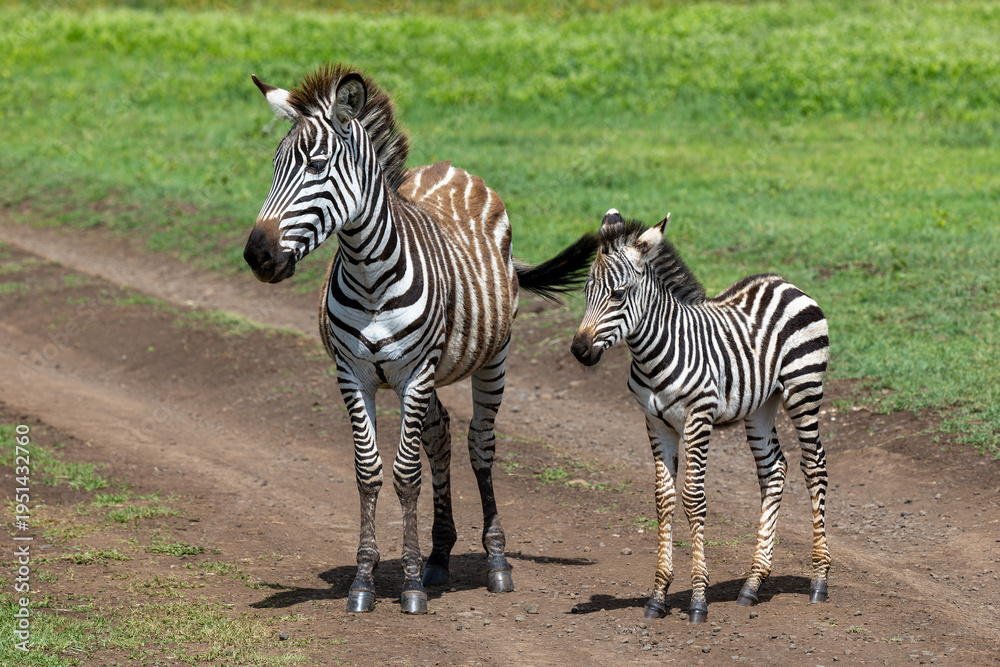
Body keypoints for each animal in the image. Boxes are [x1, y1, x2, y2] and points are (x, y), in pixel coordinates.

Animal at [243, 63, 598, 615]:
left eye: (317, 166)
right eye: (275, 167)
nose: (257, 255)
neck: (369, 275)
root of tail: (452, 168)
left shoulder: (414, 372)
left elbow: (406, 475)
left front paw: (408, 586)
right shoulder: (354, 374)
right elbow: (369, 471)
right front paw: (365, 581)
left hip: (490, 358)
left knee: (479, 443)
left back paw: (496, 562)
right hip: (429, 375)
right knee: (441, 435)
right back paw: (438, 556)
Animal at [570, 209, 831, 624]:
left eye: (618, 294)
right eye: (585, 291)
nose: (579, 350)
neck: (654, 351)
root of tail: (784, 282)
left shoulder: (698, 419)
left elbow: (693, 499)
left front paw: (697, 599)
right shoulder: (655, 423)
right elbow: (663, 500)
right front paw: (658, 596)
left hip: (804, 389)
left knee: (815, 467)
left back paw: (819, 579)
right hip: (761, 405)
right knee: (774, 470)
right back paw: (752, 584)